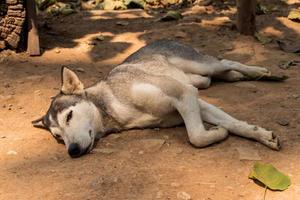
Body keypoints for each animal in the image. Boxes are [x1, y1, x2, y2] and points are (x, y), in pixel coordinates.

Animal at [32, 39, 282, 158]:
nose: (72, 150)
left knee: (225, 62)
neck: (112, 108)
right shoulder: (194, 99)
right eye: (58, 137)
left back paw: (263, 72)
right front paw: (260, 135)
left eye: (69, 116)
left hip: (201, 64)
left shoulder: (184, 94)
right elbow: (232, 124)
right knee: (213, 77)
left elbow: (197, 137)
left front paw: (220, 133)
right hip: (198, 79)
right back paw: (238, 76)